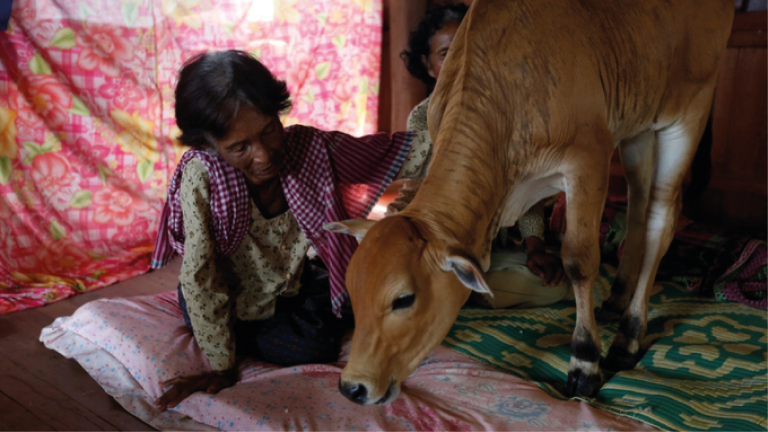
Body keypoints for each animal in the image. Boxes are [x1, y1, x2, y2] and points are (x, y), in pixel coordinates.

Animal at [322, 0, 732, 404]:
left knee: (661, 219)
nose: (352, 387)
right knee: (638, 209)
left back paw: (628, 338)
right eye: (352, 289)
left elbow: (579, 261)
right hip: (639, 123)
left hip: (689, 110)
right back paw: (616, 300)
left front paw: (585, 363)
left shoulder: (589, 160)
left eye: (403, 299)